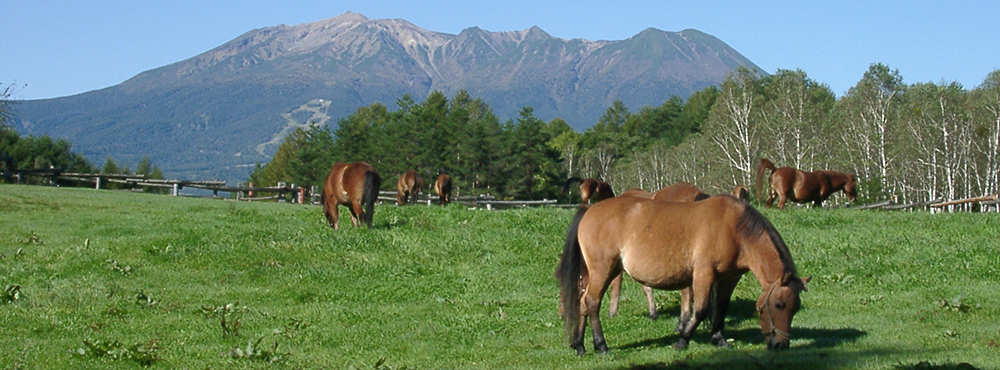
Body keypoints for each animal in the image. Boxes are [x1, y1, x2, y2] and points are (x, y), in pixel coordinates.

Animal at [560, 195, 808, 354]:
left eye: (795, 308)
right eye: (779, 305)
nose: (781, 345)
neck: (735, 228)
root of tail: (589, 210)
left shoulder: (729, 279)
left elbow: (721, 309)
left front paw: (719, 339)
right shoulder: (704, 275)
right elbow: (701, 310)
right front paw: (682, 341)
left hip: (603, 272)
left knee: (582, 303)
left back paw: (579, 345)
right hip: (603, 271)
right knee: (592, 303)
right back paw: (601, 346)